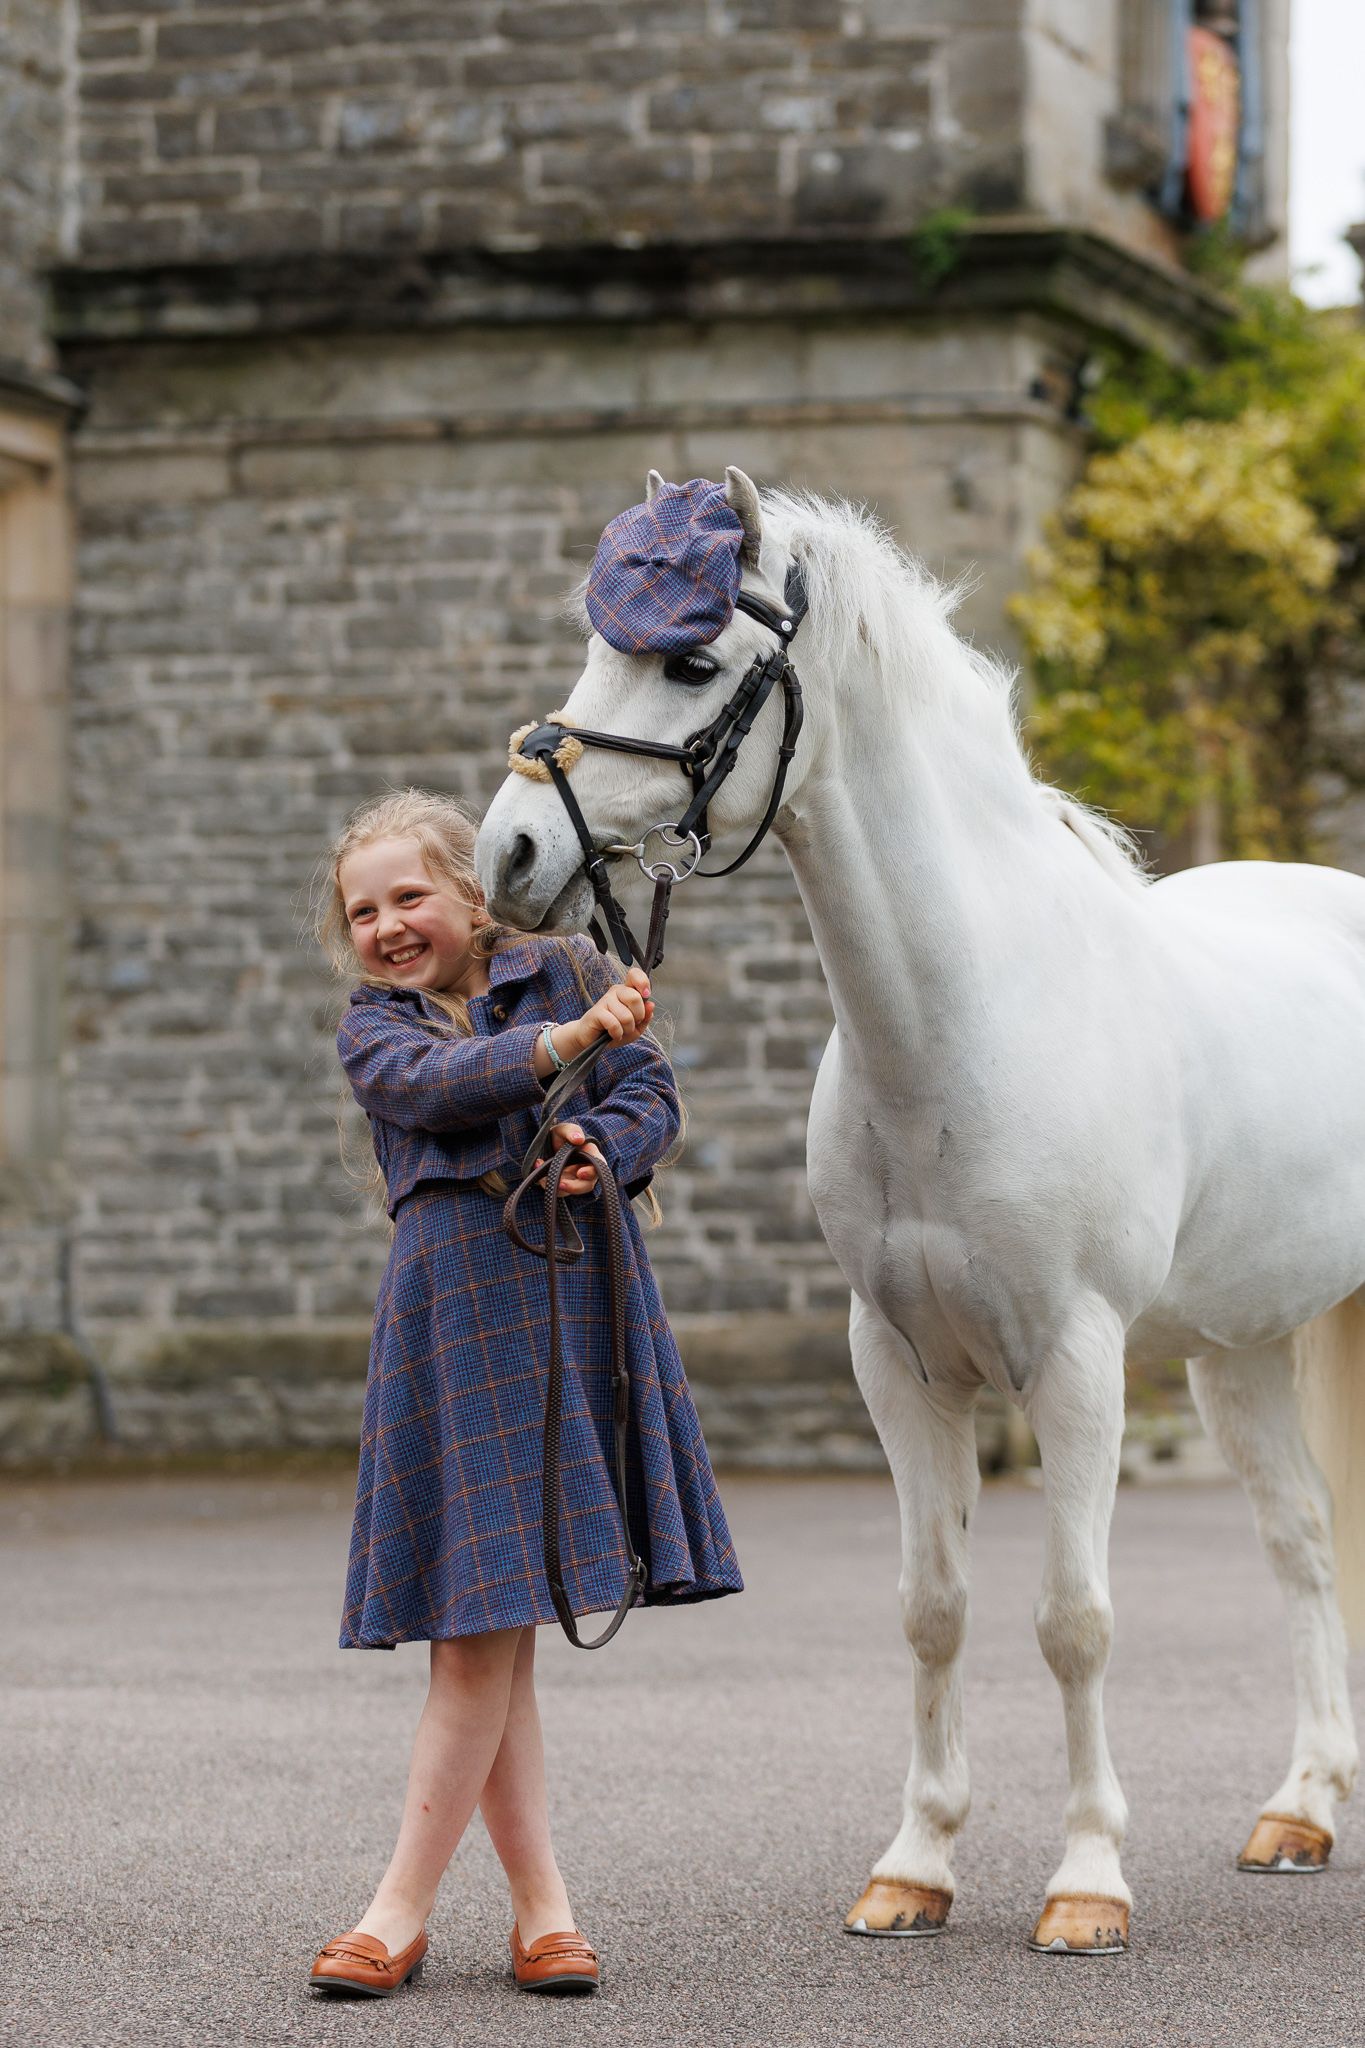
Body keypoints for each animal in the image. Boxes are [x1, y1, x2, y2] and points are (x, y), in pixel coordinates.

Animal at [475, 467, 1365, 1952]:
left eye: (691, 661)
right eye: (601, 639)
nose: (512, 850)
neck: (968, 1021)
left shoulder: (1077, 1365)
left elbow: (1073, 1619)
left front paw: (1086, 1882)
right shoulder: (895, 1363)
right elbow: (933, 1608)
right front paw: (915, 1866)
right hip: (1238, 1348)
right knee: (1299, 1545)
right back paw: (1301, 1810)